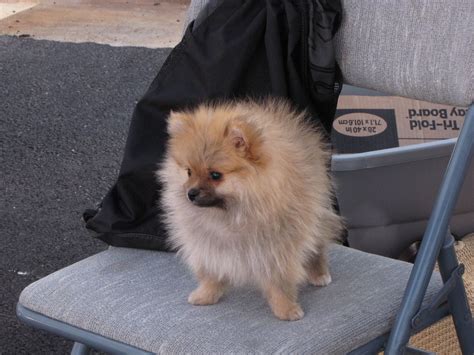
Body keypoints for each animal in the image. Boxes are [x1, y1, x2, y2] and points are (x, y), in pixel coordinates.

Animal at [157, 98, 342, 322]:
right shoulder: (208, 244)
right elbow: (211, 271)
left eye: (215, 175)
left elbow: (279, 279)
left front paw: (286, 309)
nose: (190, 193)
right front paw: (206, 294)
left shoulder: (277, 246)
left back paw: (319, 273)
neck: (229, 213)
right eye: (189, 172)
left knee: (317, 247)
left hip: (315, 217)